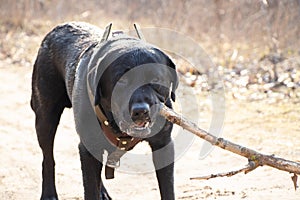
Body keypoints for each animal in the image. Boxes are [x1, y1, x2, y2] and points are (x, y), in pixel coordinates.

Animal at [31, 22, 178, 200]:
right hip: (45, 118)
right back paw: (49, 194)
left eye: (156, 79)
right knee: (48, 158)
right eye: (121, 80)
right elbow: (90, 189)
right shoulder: (87, 149)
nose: (141, 111)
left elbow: (168, 190)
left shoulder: (163, 145)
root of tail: (57, 28)